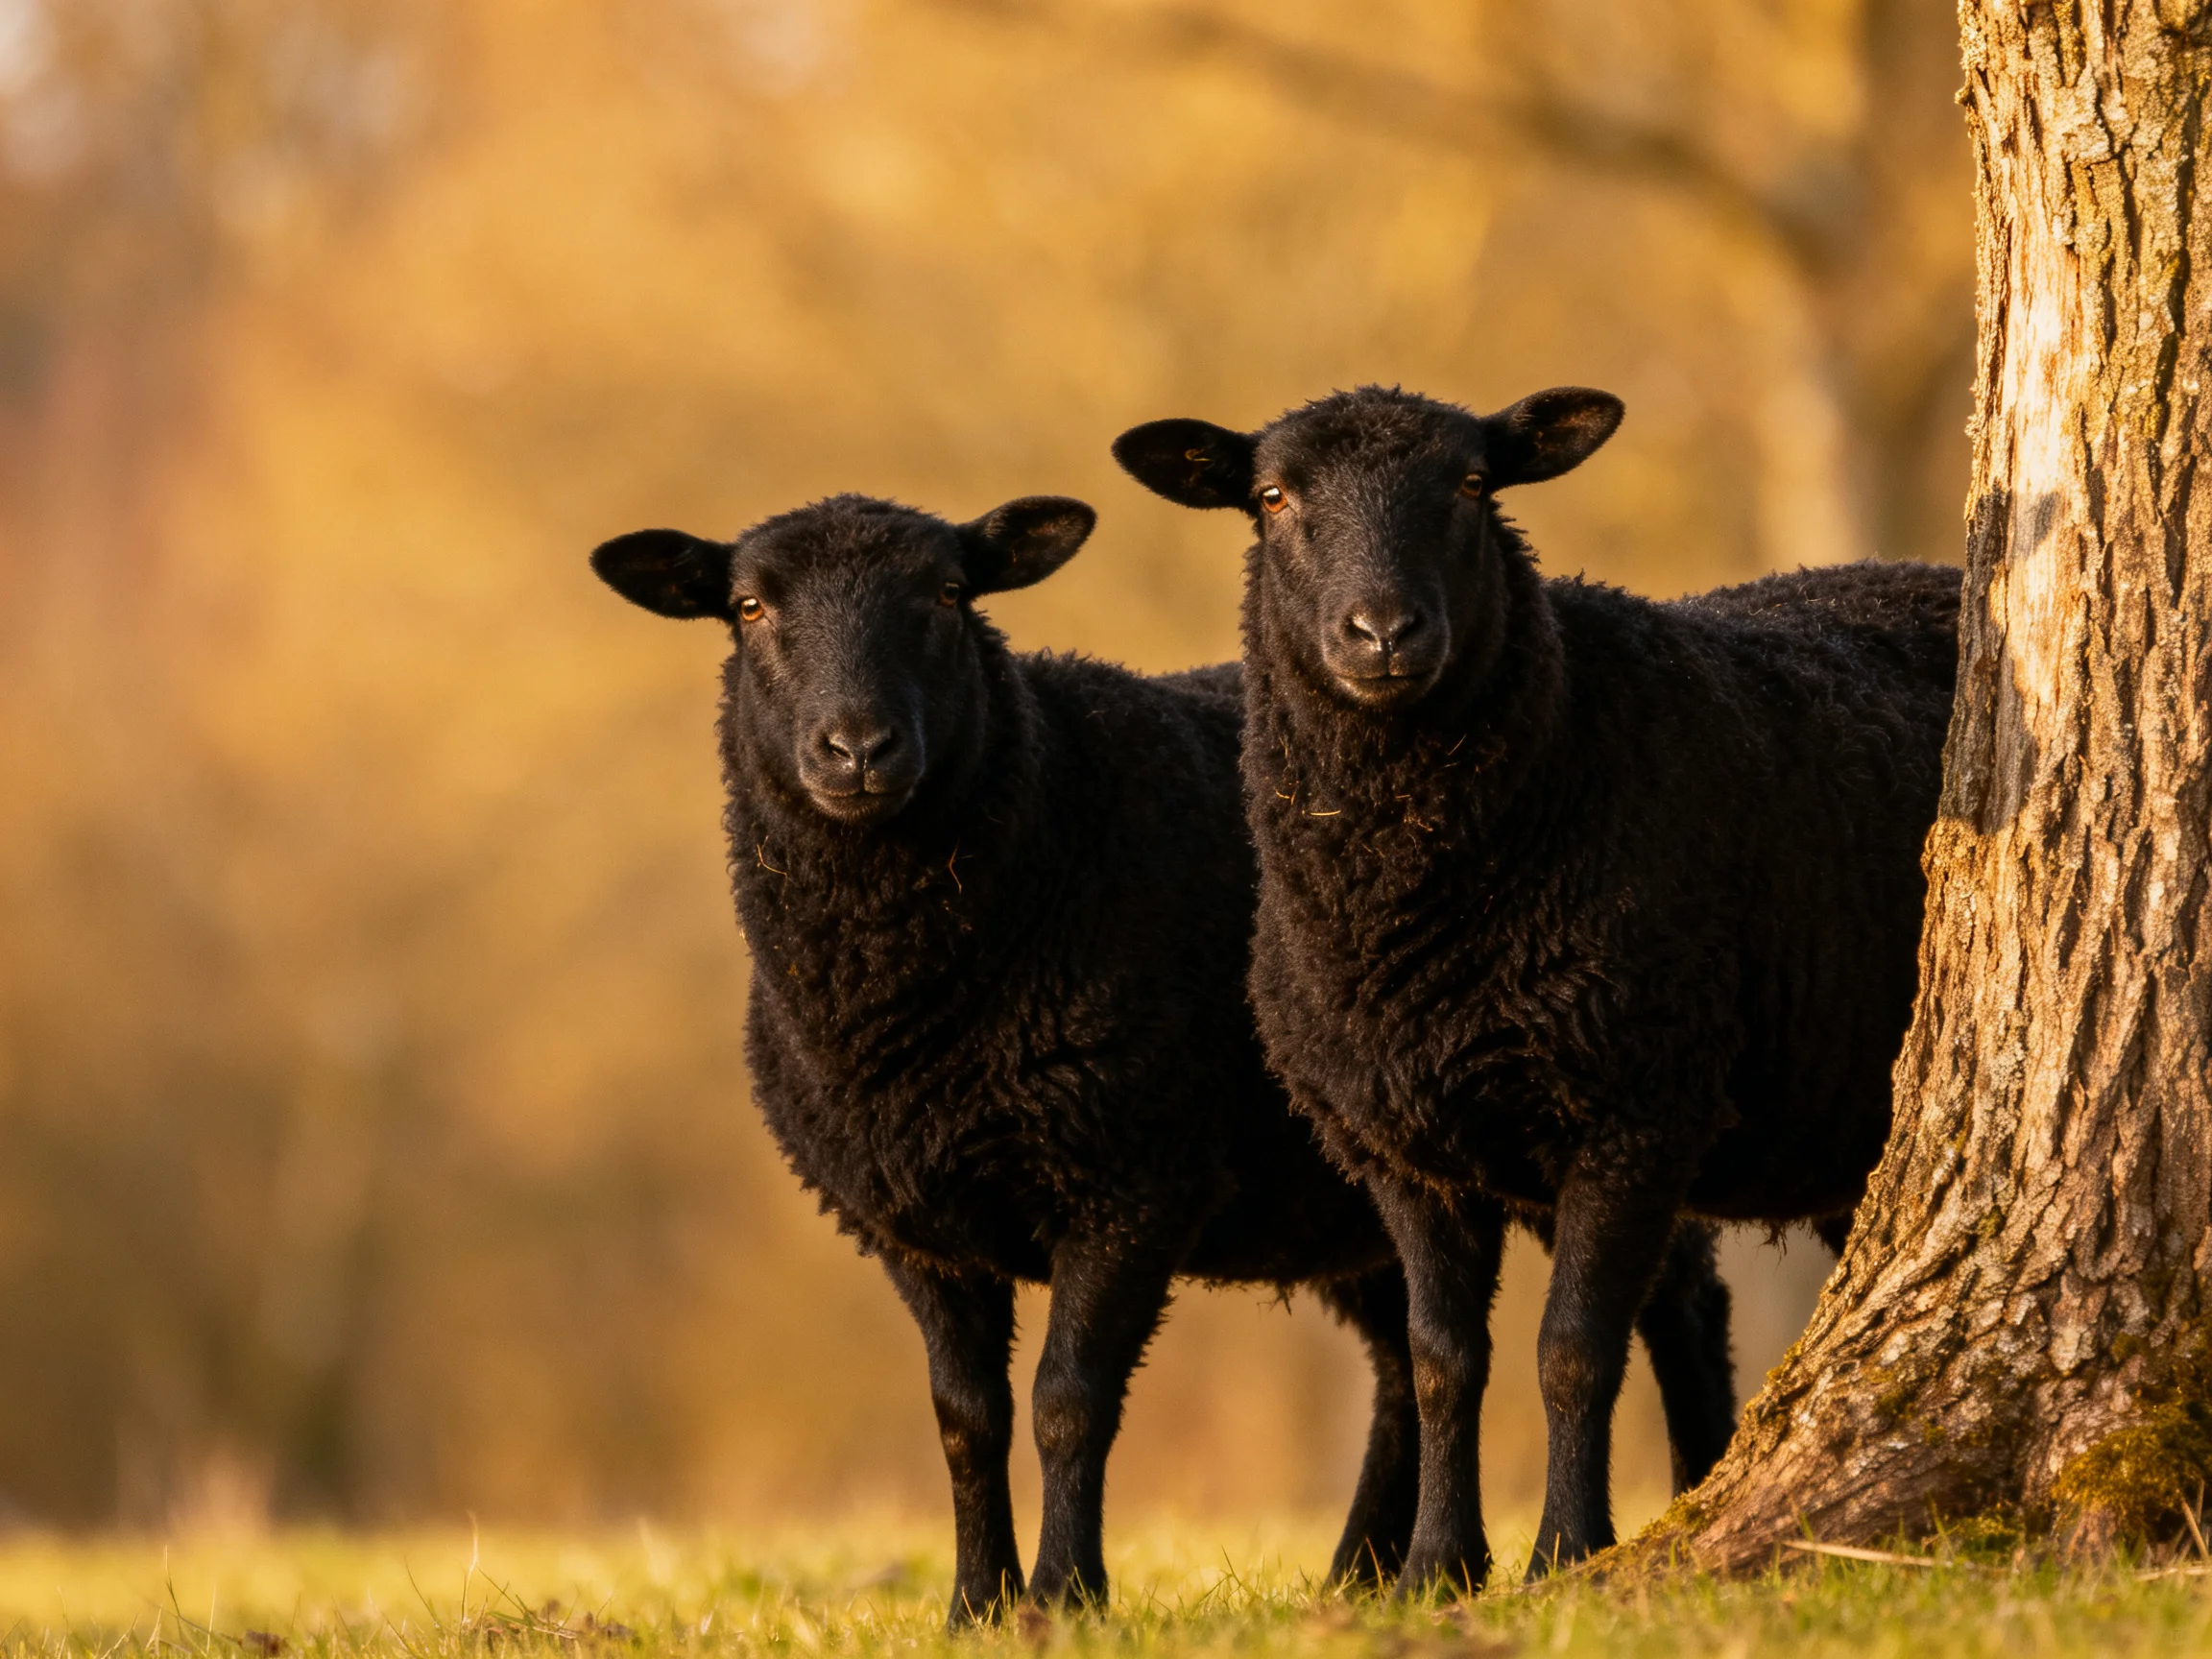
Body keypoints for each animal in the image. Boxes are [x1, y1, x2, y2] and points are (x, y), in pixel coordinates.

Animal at [587, 490, 1741, 1619]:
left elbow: (1067, 1401)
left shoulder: (1130, 1175)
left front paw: (1064, 1596)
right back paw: (1363, 1573)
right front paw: (974, 1606)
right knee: (1398, 1355)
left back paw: (1692, 1489)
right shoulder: (911, 1221)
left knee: (1678, 1299)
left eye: (950, 594)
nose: (857, 749)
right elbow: (964, 1418)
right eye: (749, 608)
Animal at [1114, 386, 1960, 1587]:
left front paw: (1564, 1553)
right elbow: (1440, 1362)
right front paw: (1436, 1567)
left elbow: (1572, 1351)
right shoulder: (1401, 1144)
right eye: (1273, 497)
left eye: (1473, 484)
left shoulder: (1633, 1109)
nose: (1383, 633)